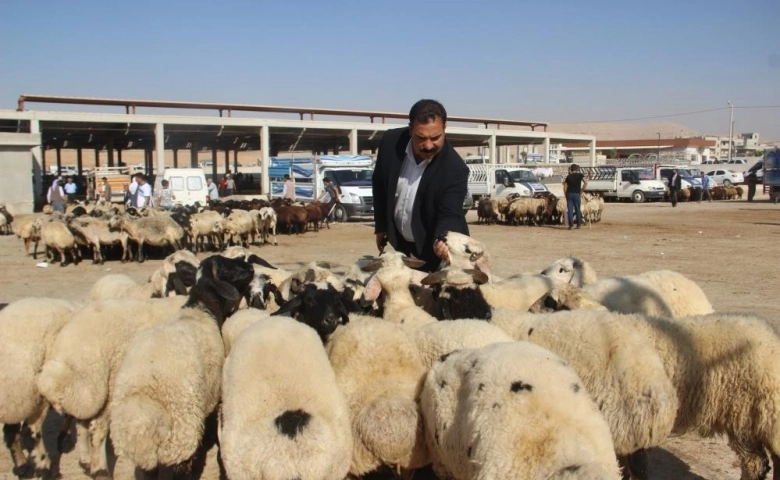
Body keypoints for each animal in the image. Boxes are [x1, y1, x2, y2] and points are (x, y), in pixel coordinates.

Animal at [0, 298, 82, 478]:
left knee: (11, 431)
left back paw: (23, 467)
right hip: (34, 392)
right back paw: (46, 469)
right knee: (30, 432)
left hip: (17, 396)